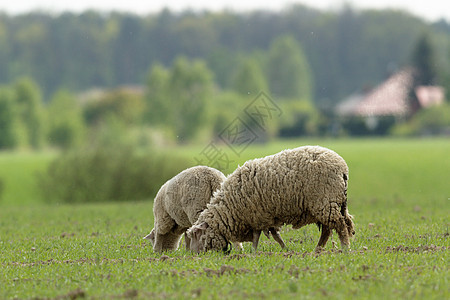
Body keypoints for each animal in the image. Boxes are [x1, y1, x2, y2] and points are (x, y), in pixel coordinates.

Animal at [186, 145, 356, 253]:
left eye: (197, 235)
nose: (193, 256)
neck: (229, 207)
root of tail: (342, 167)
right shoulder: (263, 216)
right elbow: (274, 235)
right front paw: (285, 249)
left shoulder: (255, 216)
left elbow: (257, 237)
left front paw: (254, 253)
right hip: (331, 203)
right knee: (330, 228)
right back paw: (317, 250)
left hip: (325, 202)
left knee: (340, 226)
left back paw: (345, 249)